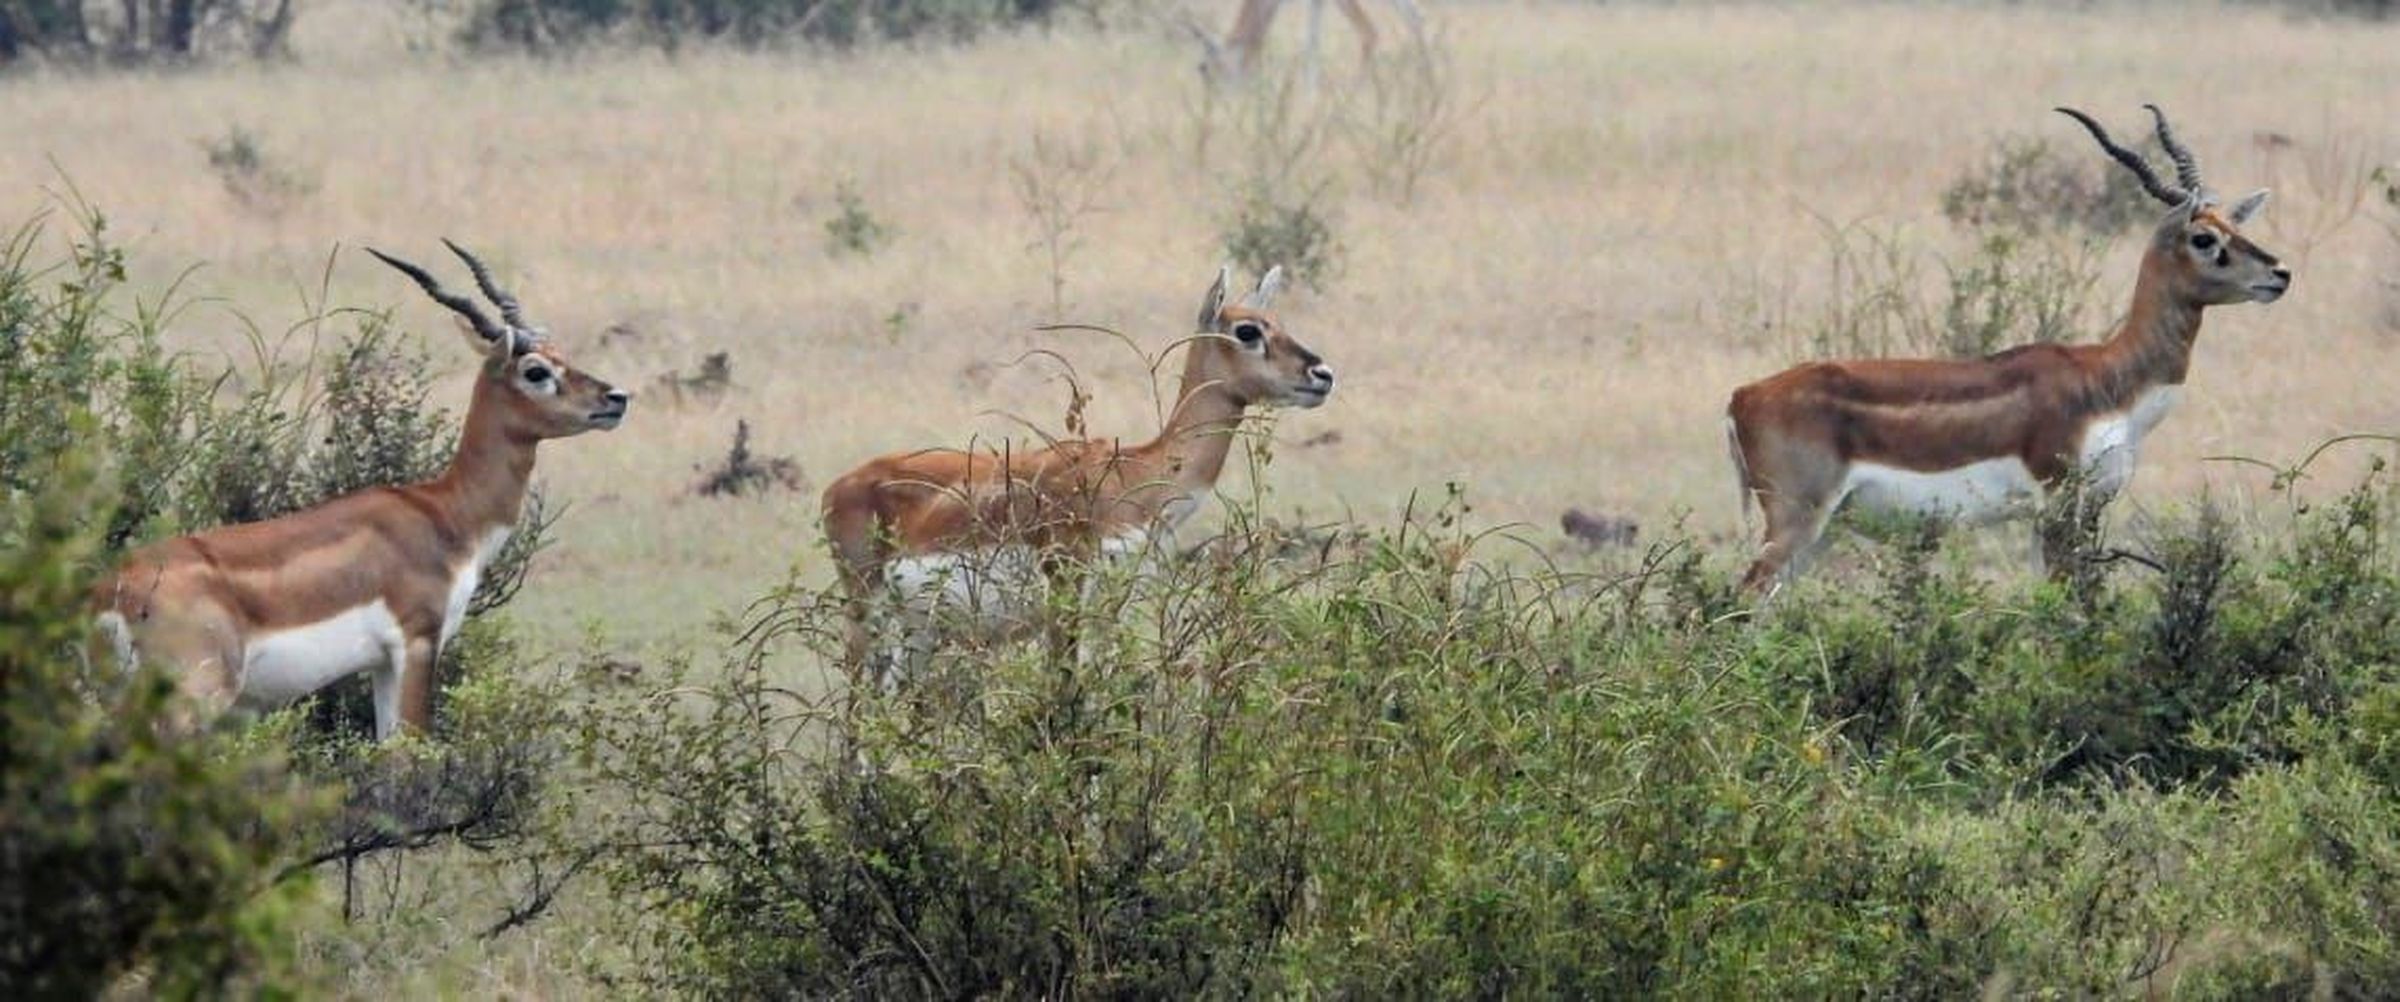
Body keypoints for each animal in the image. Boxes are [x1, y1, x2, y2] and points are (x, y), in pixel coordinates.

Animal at [98, 240, 633, 733]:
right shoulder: (417, 642)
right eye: (536, 371)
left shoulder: (380, 664)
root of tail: (115, 589)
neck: (446, 514)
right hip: (193, 700)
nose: (616, 398)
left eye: (563, 355)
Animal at [825, 266, 1334, 680]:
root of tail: (839, 487)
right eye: (1247, 330)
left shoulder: (1109, 610)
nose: (1322, 374)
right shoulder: (1065, 592)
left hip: (917, 636)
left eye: (1279, 322)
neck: (1134, 476)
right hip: (867, 618)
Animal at [1728, 106, 2284, 599]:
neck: (2107, 378)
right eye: (2203, 237)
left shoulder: (2086, 507)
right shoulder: (2059, 503)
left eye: (2237, 228)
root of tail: (1741, 397)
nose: (2280, 273)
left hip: (1819, 533)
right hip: (1797, 520)